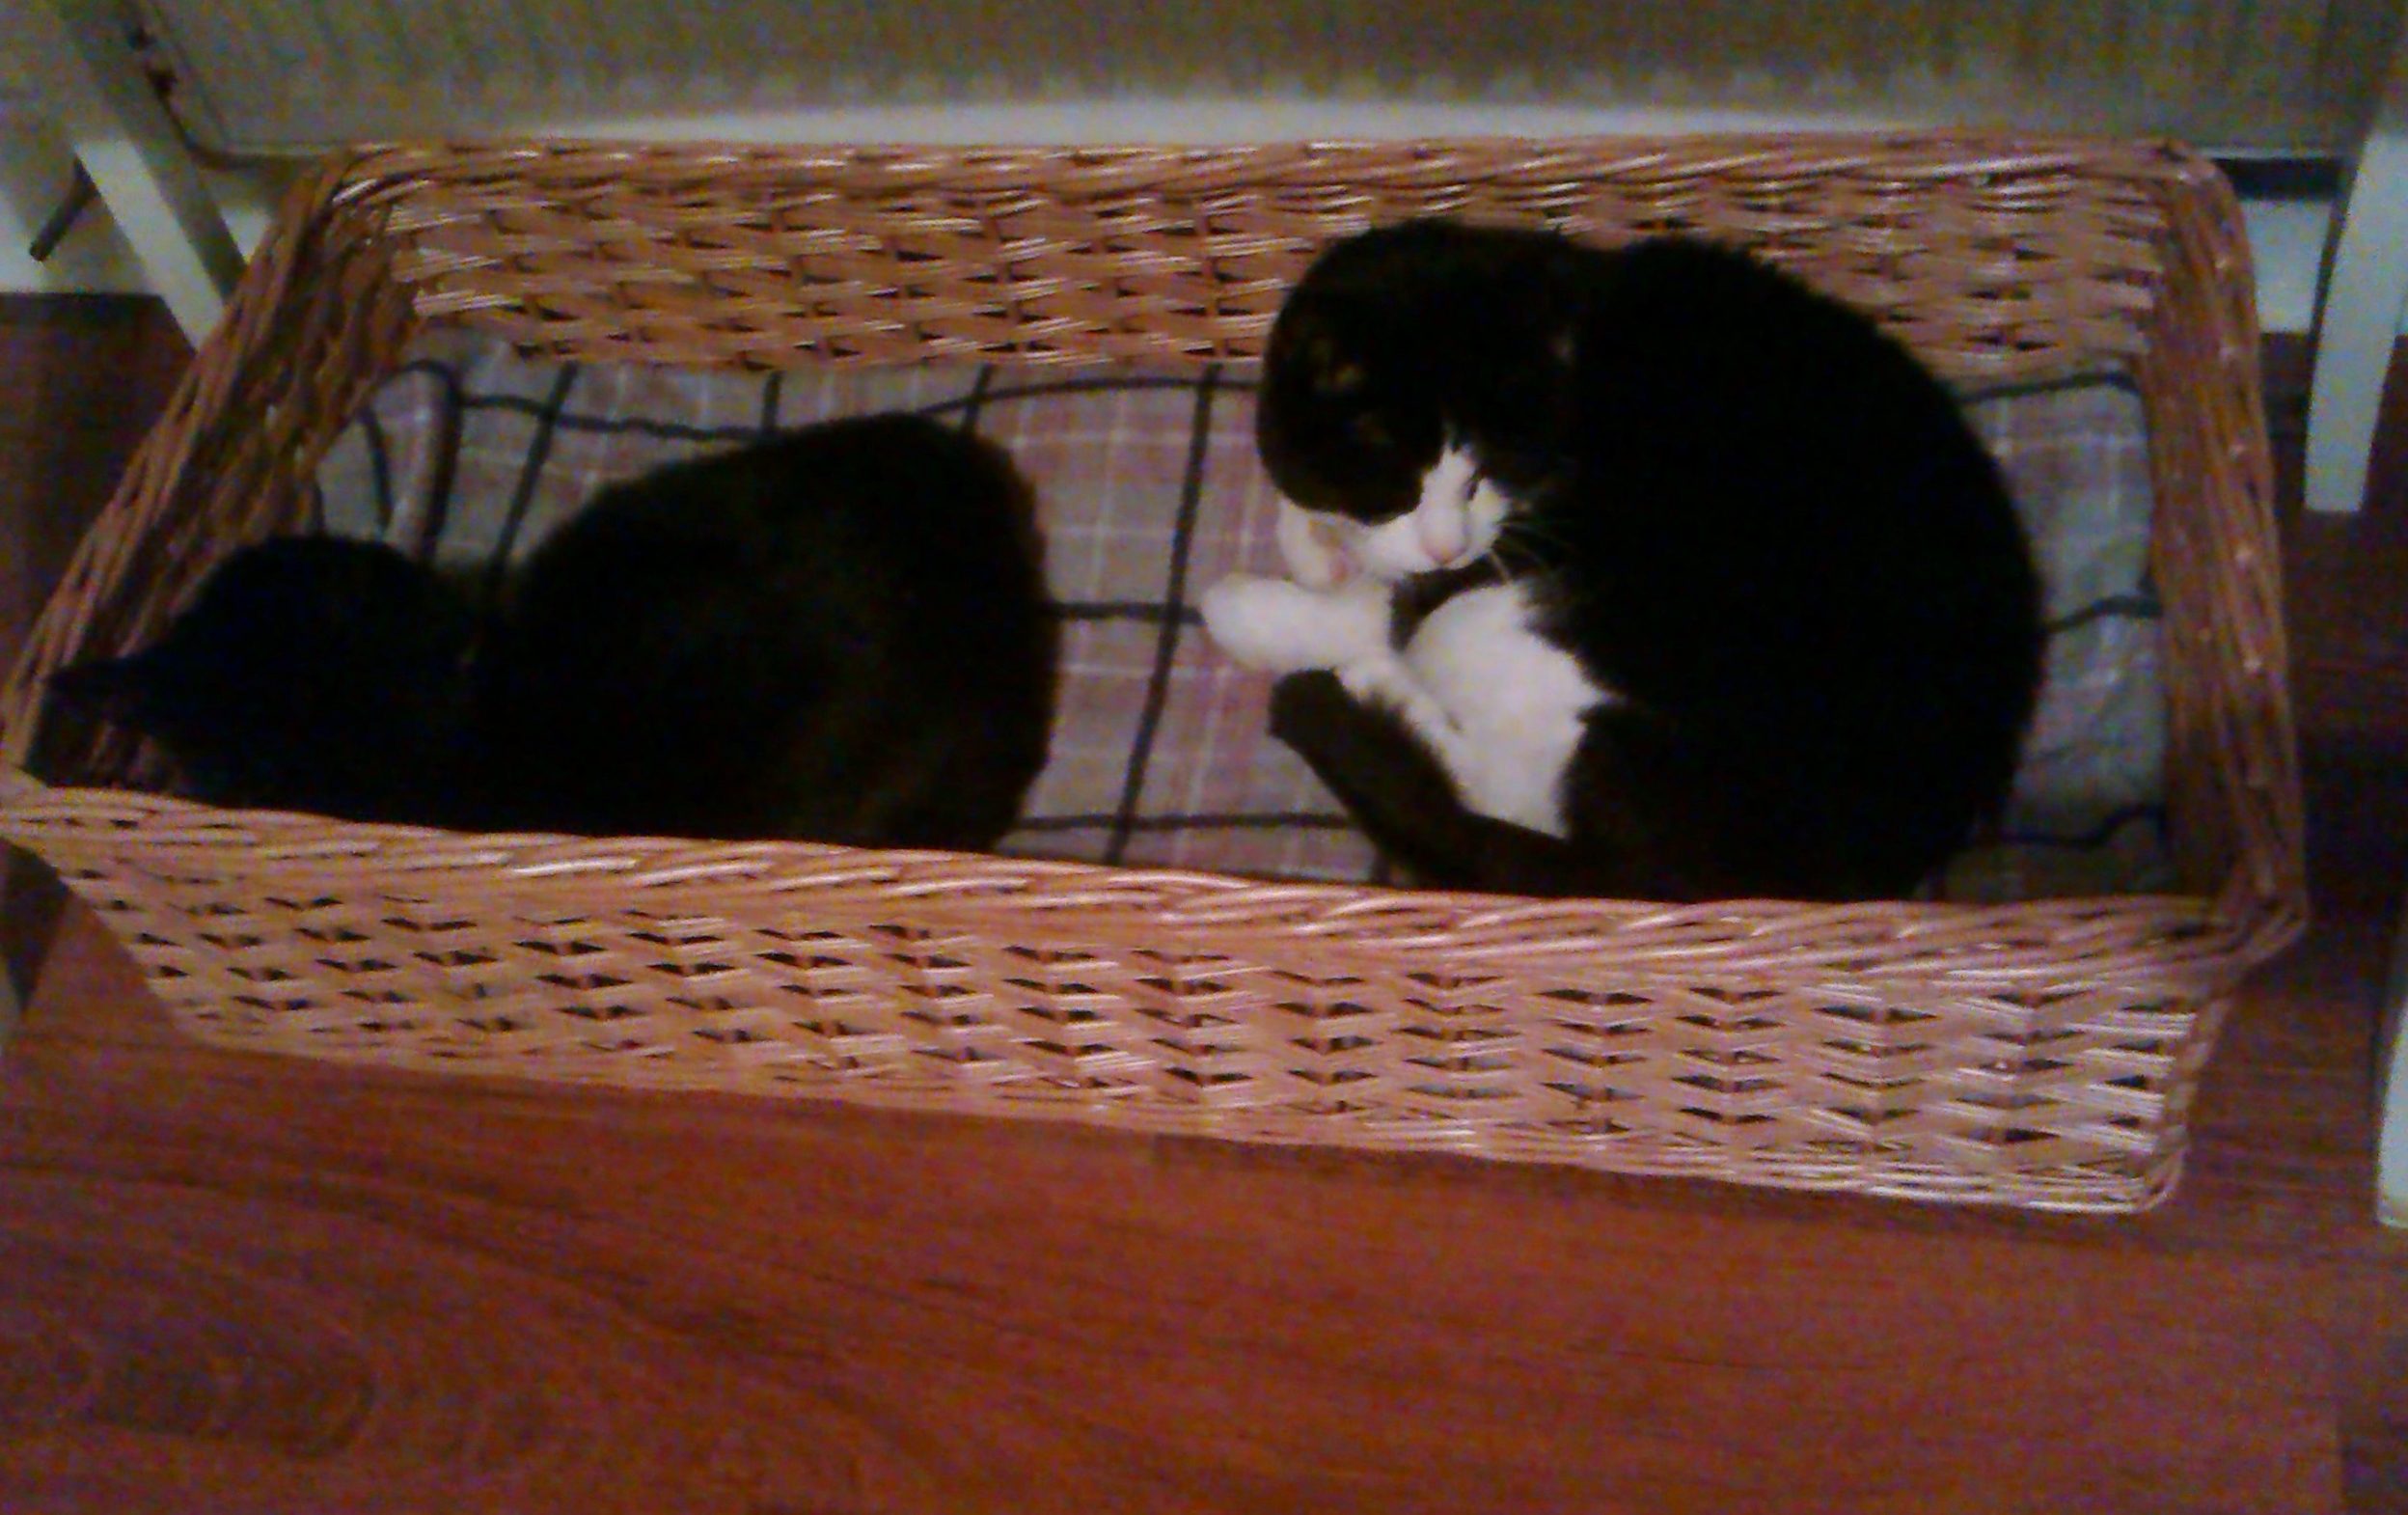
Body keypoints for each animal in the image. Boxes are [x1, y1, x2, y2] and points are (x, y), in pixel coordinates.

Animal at [1201, 219, 2046, 902]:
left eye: (1486, 476)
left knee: (1497, 787)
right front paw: (1319, 545)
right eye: (1400, 486)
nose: (1449, 542)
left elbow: (1378, 610)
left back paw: (1371, 686)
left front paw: (1256, 605)